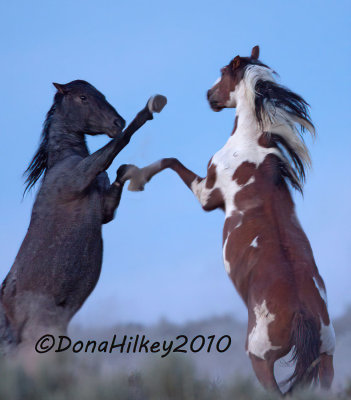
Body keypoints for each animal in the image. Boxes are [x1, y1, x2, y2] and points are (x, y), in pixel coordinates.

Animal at [0, 80, 167, 350]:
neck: (65, 160)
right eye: (83, 98)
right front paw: (146, 111)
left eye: (101, 94)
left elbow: (119, 174)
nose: (117, 122)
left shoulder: (104, 209)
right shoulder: (81, 177)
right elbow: (116, 146)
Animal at [119, 47, 336, 394]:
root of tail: (302, 314)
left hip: (261, 361)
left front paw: (134, 176)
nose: (209, 95)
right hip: (325, 360)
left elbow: (170, 161)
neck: (253, 149)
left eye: (222, 73)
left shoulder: (206, 194)